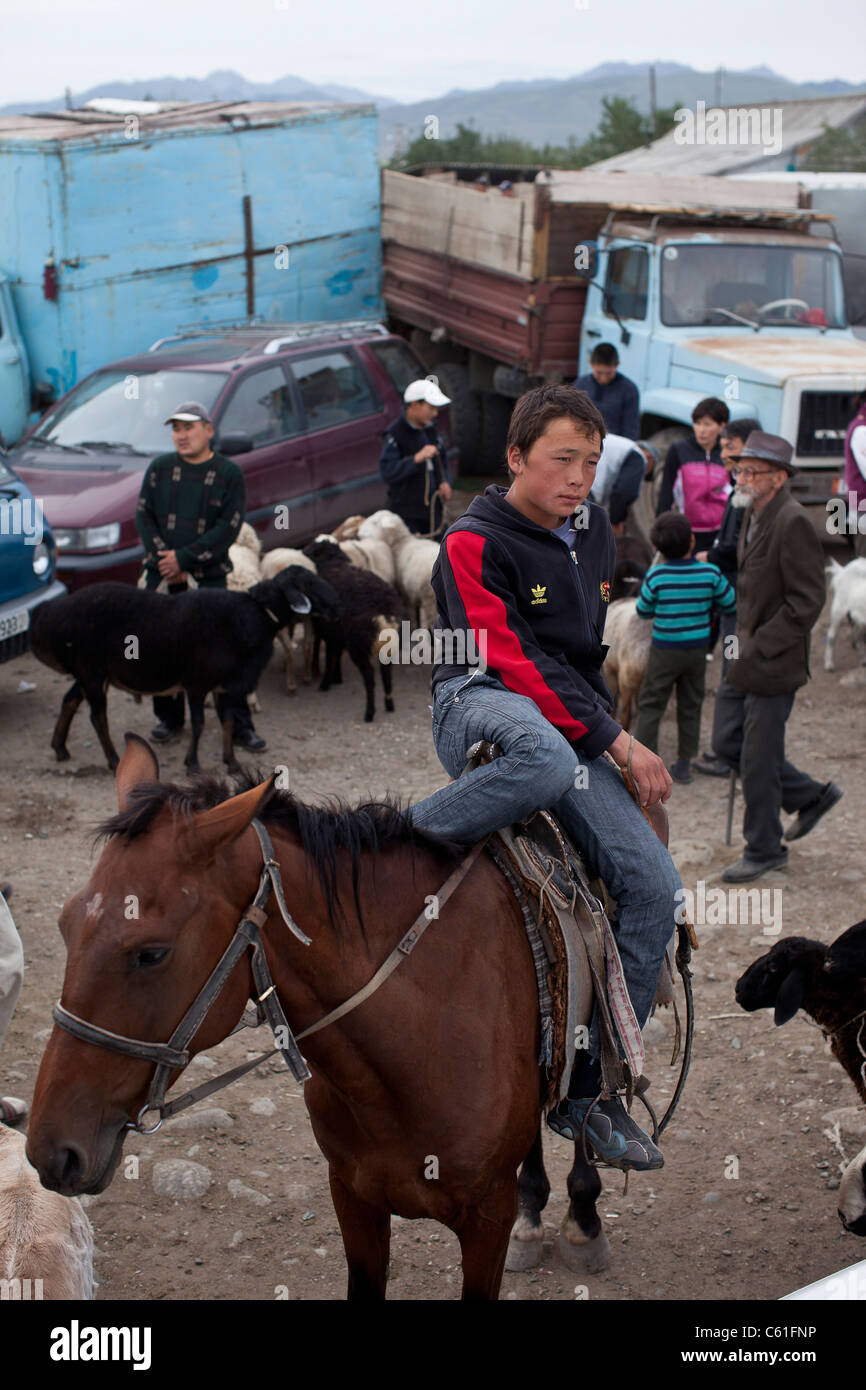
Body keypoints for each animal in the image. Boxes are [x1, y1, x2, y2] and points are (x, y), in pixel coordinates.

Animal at [27, 733, 608, 1295]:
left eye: (151, 953)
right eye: (64, 925)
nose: (51, 1151)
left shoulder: (486, 1219)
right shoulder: (352, 1196)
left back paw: (582, 1217)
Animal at [30, 569, 337, 778]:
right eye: (308, 583)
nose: (336, 602)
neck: (257, 614)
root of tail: (48, 617)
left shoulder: (225, 685)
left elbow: (228, 721)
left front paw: (232, 762)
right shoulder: (197, 684)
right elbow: (200, 723)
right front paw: (193, 765)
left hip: (89, 673)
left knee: (70, 700)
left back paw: (60, 748)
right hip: (91, 672)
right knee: (98, 718)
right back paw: (114, 760)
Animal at [303, 536, 411, 722]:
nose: (303, 550)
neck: (333, 563)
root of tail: (384, 611)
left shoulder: (329, 630)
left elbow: (331, 656)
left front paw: (326, 682)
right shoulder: (339, 632)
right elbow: (337, 653)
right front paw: (337, 677)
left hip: (358, 644)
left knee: (369, 677)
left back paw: (369, 712)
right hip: (386, 646)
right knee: (386, 672)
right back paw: (389, 703)